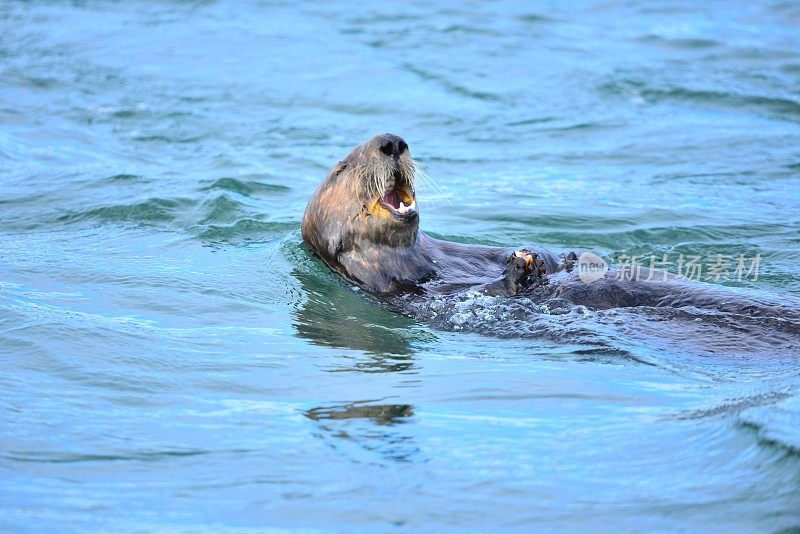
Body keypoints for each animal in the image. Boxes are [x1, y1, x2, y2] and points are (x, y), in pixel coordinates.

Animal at [302, 134, 800, 326]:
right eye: (343, 167)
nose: (392, 142)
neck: (423, 261)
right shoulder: (398, 294)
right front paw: (521, 271)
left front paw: (537, 255)